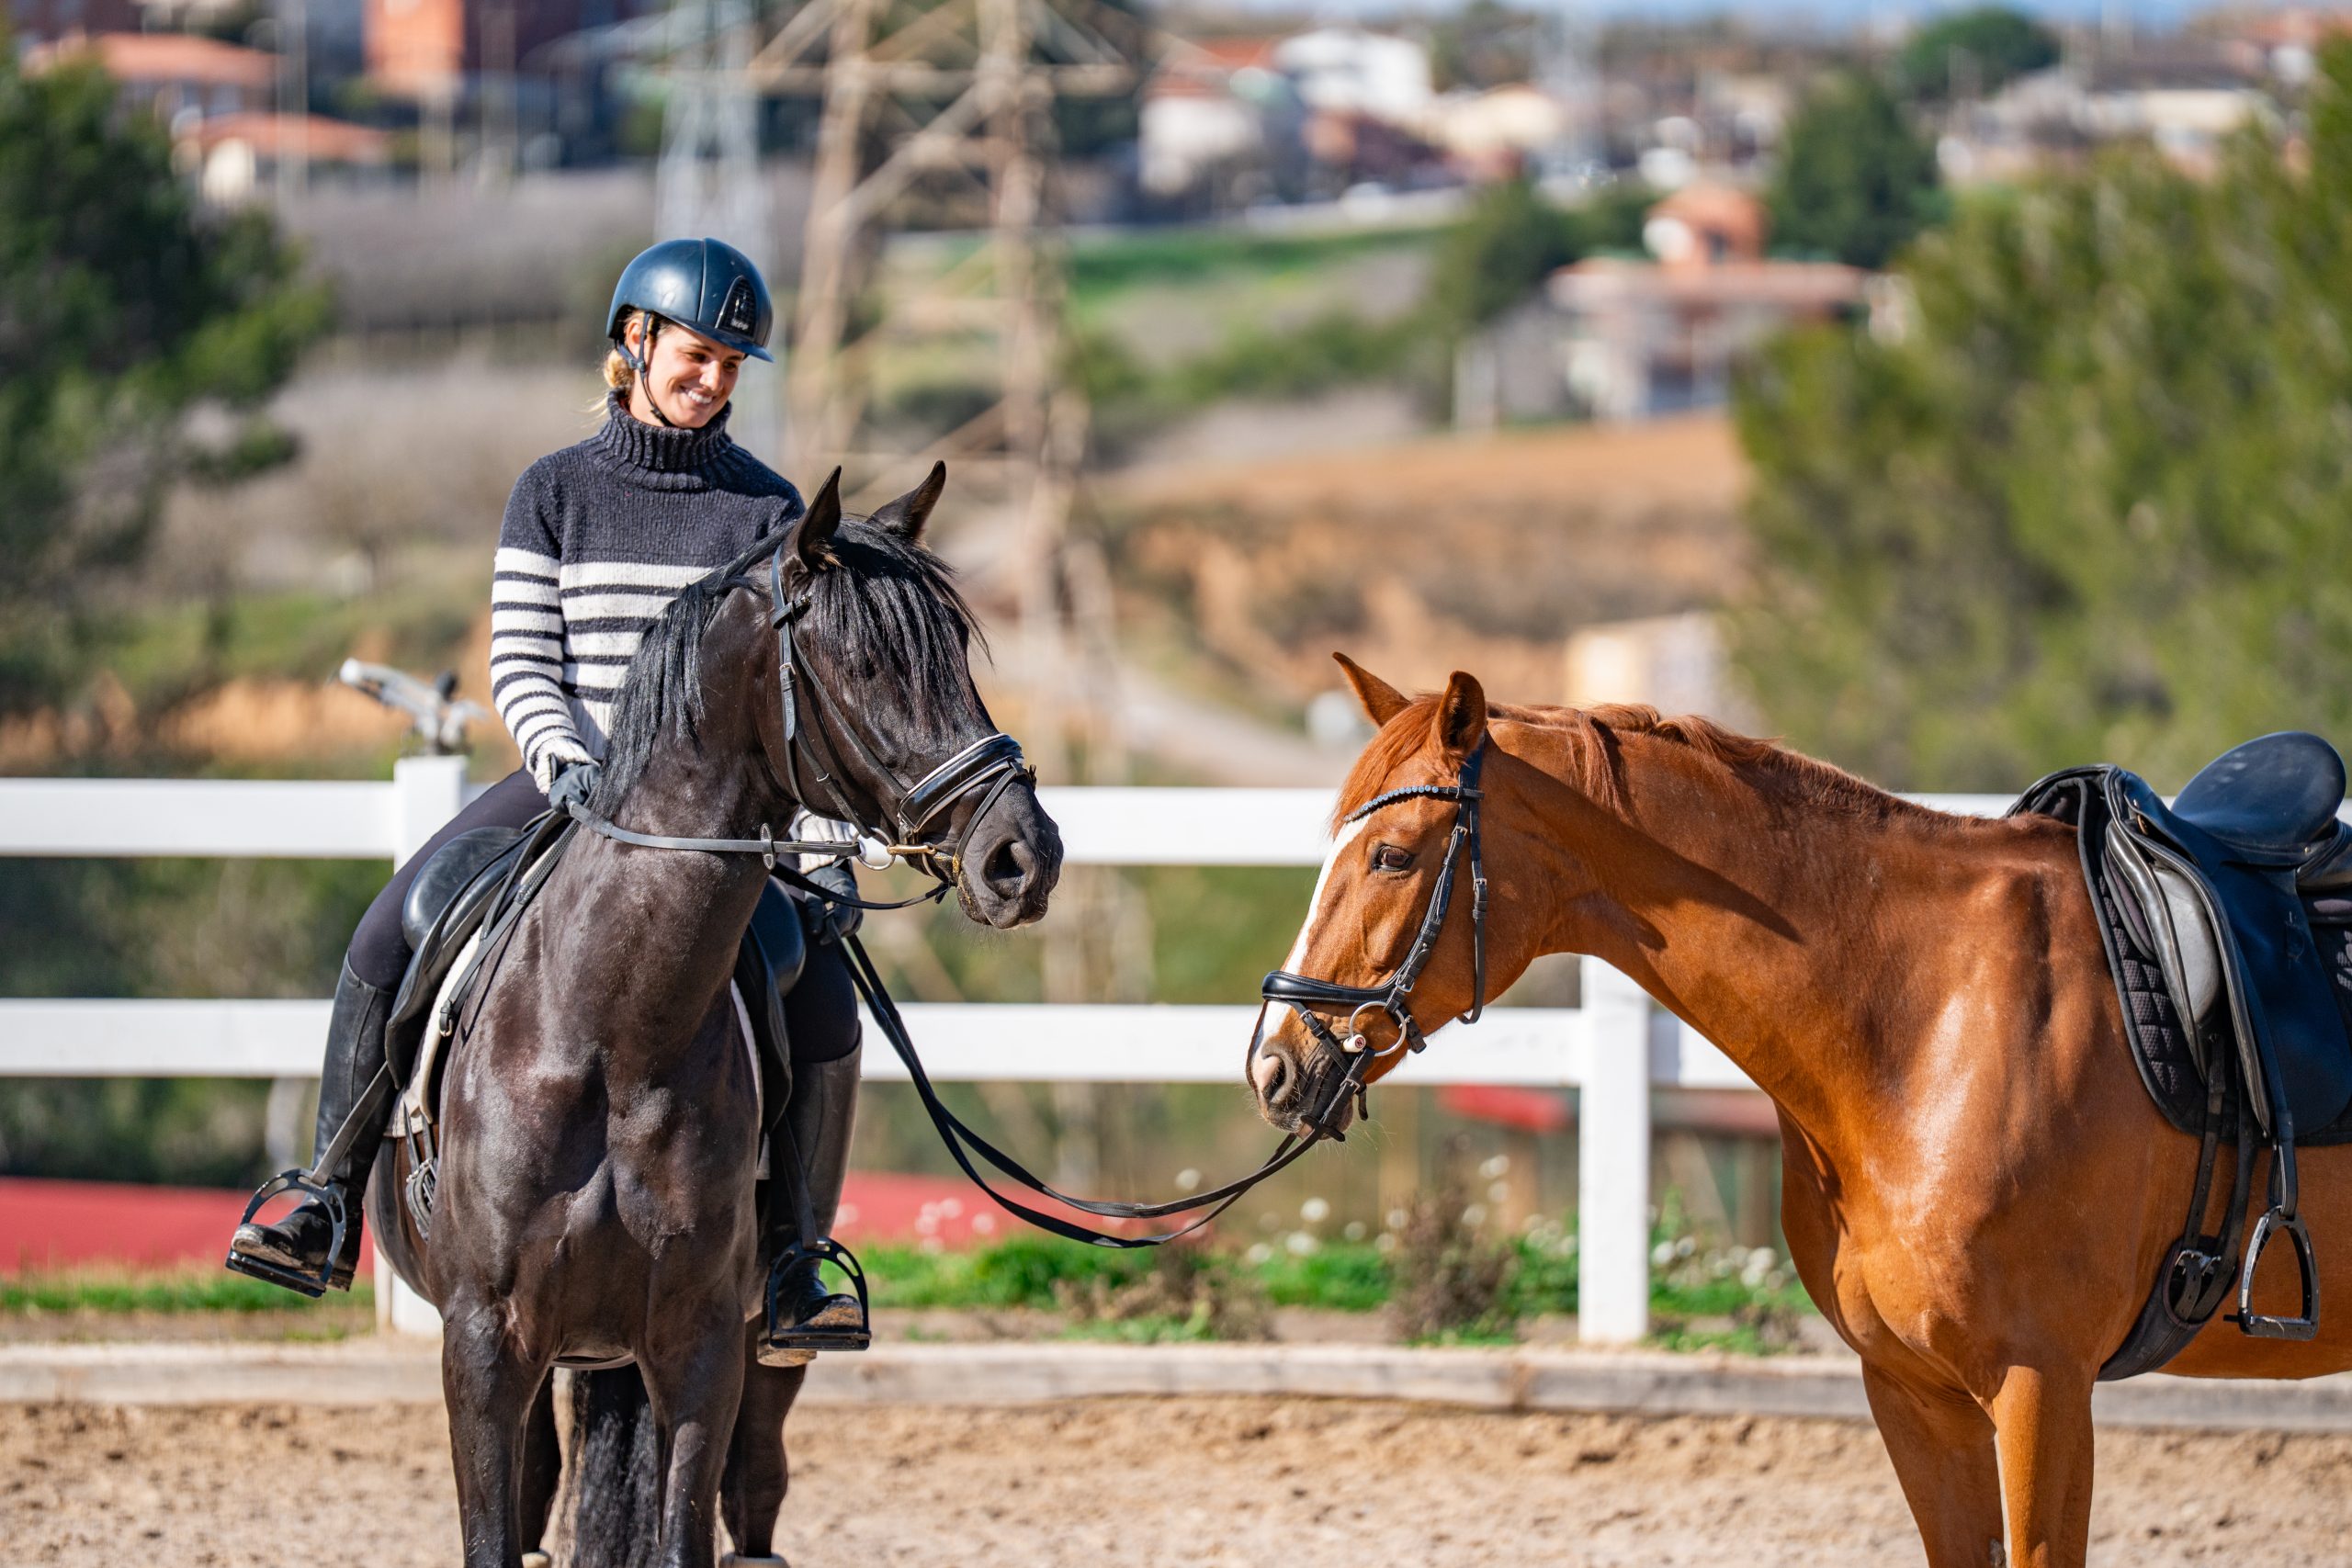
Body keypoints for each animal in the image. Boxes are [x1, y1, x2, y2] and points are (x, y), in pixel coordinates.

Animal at [367, 467, 1062, 1568]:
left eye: (957, 656)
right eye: (865, 664)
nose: (1022, 856)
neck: (612, 1040)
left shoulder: (698, 1345)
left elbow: (686, 1531)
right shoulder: (484, 1346)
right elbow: (496, 1533)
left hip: (758, 1354)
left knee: (756, 1508)